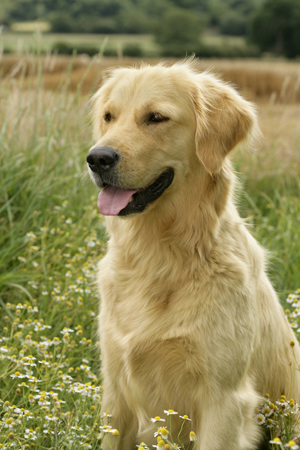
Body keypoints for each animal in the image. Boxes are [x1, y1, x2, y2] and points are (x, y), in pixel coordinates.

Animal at [86, 60, 300, 450]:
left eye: (156, 117)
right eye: (109, 116)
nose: (97, 158)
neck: (160, 254)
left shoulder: (224, 399)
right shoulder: (116, 394)